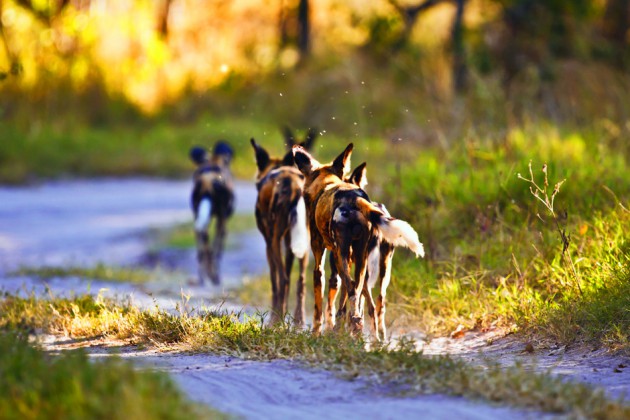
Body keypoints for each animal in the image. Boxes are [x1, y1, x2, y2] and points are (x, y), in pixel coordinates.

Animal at [190, 142, 237, 286]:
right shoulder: (222, 222)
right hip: (220, 222)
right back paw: (214, 277)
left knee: (202, 251)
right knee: (214, 251)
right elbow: (217, 250)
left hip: (199, 223)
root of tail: (208, 181)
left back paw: (202, 277)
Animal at [251, 128, 318, 324]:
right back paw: (299, 321)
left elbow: (275, 282)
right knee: (301, 281)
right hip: (305, 244)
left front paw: (276, 315)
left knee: (283, 279)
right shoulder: (289, 243)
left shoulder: (269, 243)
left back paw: (276, 320)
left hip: (274, 240)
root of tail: (294, 186)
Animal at [296, 144, 424, 338]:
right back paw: (367, 333)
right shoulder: (348, 262)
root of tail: (354, 197)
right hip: (368, 263)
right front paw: (339, 327)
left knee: (353, 291)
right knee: (369, 300)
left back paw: (355, 328)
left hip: (344, 257)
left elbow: (321, 308)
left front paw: (318, 333)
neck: (327, 184)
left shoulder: (323, 262)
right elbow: (344, 300)